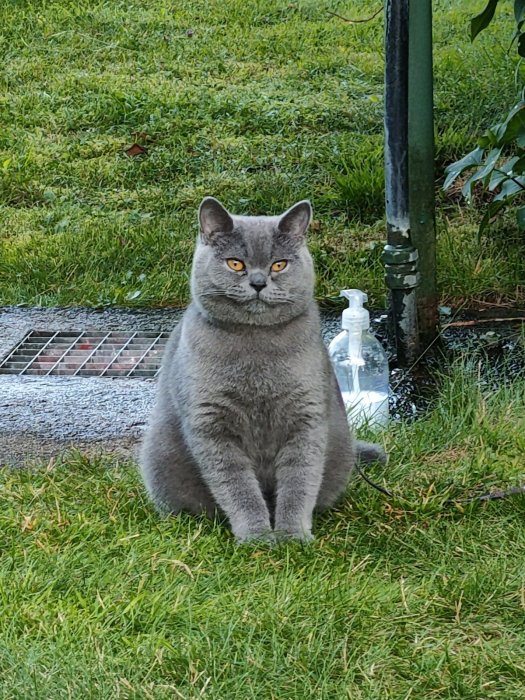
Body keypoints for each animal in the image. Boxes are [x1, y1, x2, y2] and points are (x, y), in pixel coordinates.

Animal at [139, 197, 384, 540]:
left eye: (279, 265)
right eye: (235, 264)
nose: (258, 282)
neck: (256, 346)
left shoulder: (306, 417)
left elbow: (299, 480)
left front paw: (292, 536)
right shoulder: (210, 423)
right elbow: (237, 487)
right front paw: (257, 537)